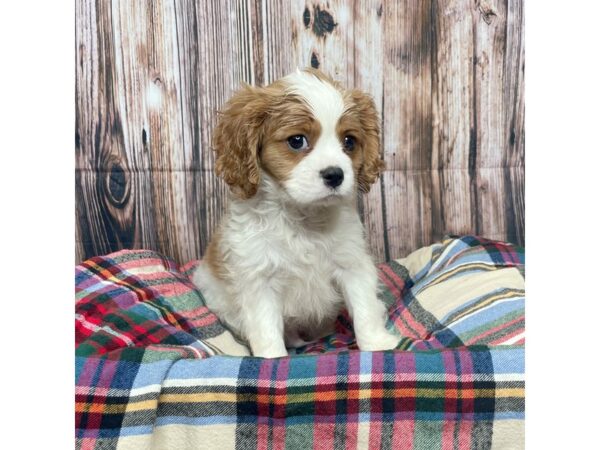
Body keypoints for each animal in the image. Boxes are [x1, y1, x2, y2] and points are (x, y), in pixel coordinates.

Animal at [192, 67, 398, 358]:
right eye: (297, 141)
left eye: (349, 141)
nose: (335, 174)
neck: (304, 216)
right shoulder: (259, 278)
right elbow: (266, 328)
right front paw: (273, 359)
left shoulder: (352, 263)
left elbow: (364, 307)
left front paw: (377, 344)